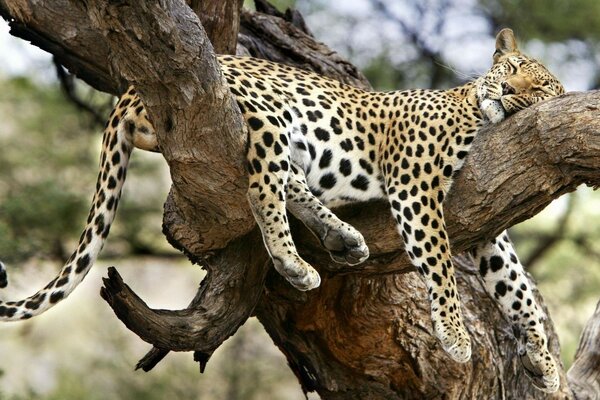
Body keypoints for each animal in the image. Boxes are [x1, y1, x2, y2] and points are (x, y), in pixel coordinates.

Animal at [0, 28, 564, 394]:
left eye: (538, 87)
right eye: (512, 70)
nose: (508, 90)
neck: (477, 114)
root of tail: (132, 88)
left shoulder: (487, 222)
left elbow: (516, 285)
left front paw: (544, 360)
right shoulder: (415, 185)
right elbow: (442, 264)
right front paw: (455, 335)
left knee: (288, 181)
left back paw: (342, 238)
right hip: (268, 116)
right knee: (261, 188)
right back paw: (296, 263)